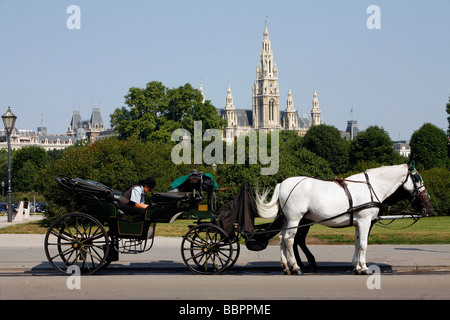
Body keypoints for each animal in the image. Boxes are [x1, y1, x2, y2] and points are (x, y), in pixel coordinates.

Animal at [253, 165, 432, 276]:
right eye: (417, 178)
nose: (428, 206)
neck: (371, 187)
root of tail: (282, 183)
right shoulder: (365, 221)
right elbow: (363, 244)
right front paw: (364, 268)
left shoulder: (359, 223)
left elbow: (357, 243)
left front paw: (357, 266)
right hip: (295, 219)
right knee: (290, 240)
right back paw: (296, 267)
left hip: (287, 220)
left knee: (282, 238)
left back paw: (286, 267)